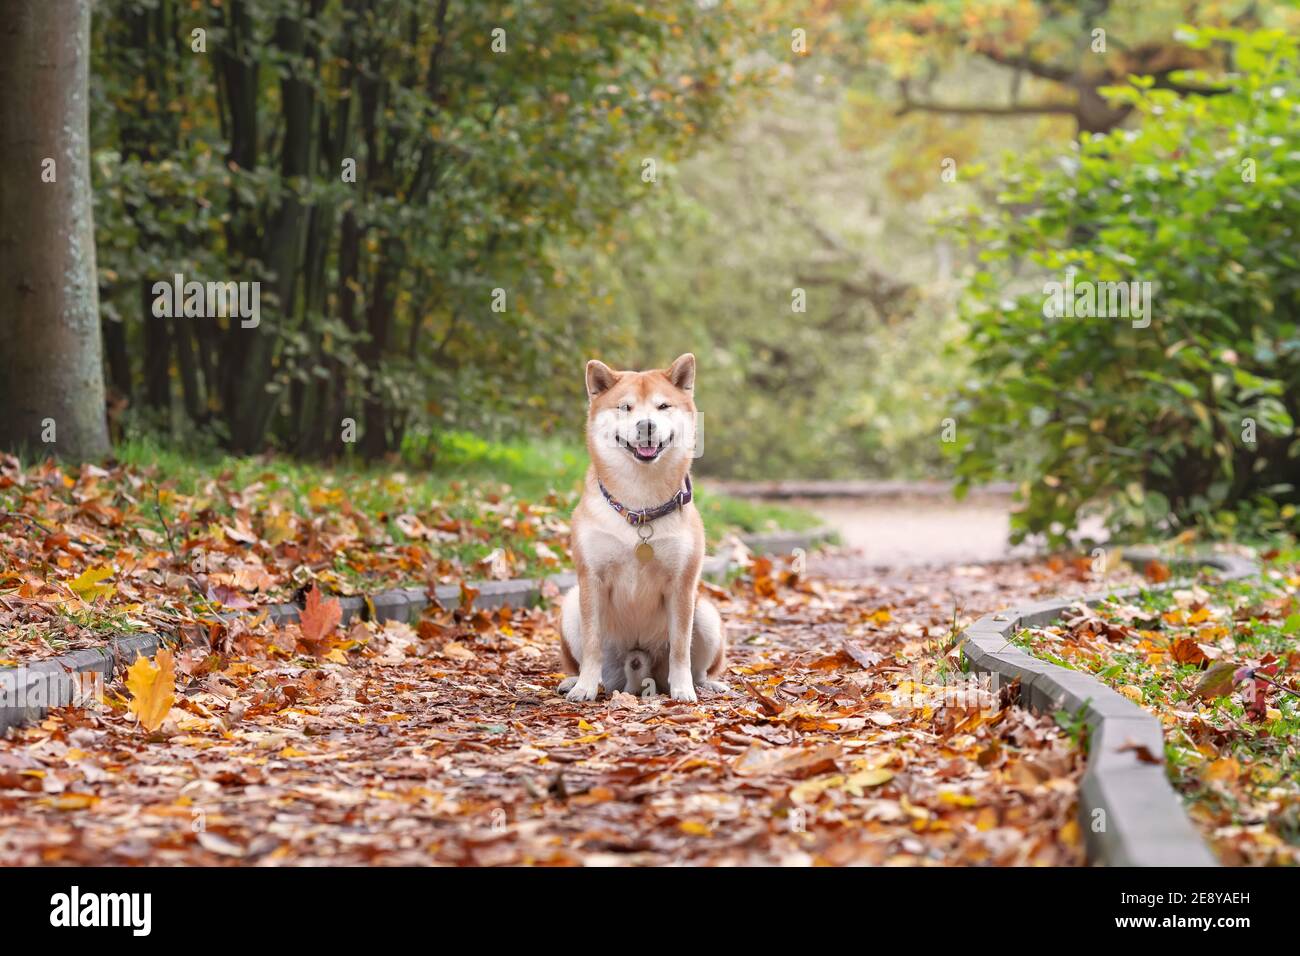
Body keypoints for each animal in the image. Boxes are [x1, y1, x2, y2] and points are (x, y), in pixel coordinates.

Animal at [556, 356, 728, 697]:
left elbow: (680, 647)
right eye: (626, 407)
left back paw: (705, 684)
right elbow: (592, 643)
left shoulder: (682, 584)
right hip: (570, 606)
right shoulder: (591, 579)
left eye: (663, 406)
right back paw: (576, 680)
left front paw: (683, 690)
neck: (639, 507)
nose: (646, 425)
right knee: (583, 660)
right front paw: (584, 687)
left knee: (700, 667)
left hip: (706, 614)